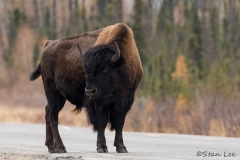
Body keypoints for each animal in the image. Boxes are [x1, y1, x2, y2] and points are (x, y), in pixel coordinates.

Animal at [29, 23, 142, 153]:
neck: (120, 66)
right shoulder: (97, 103)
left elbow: (119, 123)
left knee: (48, 111)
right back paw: (61, 148)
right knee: (53, 115)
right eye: (85, 69)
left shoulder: (125, 102)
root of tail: (48, 45)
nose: (89, 90)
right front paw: (102, 147)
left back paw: (51, 147)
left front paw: (121, 147)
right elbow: (101, 122)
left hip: (60, 97)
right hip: (52, 91)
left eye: (104, 67)